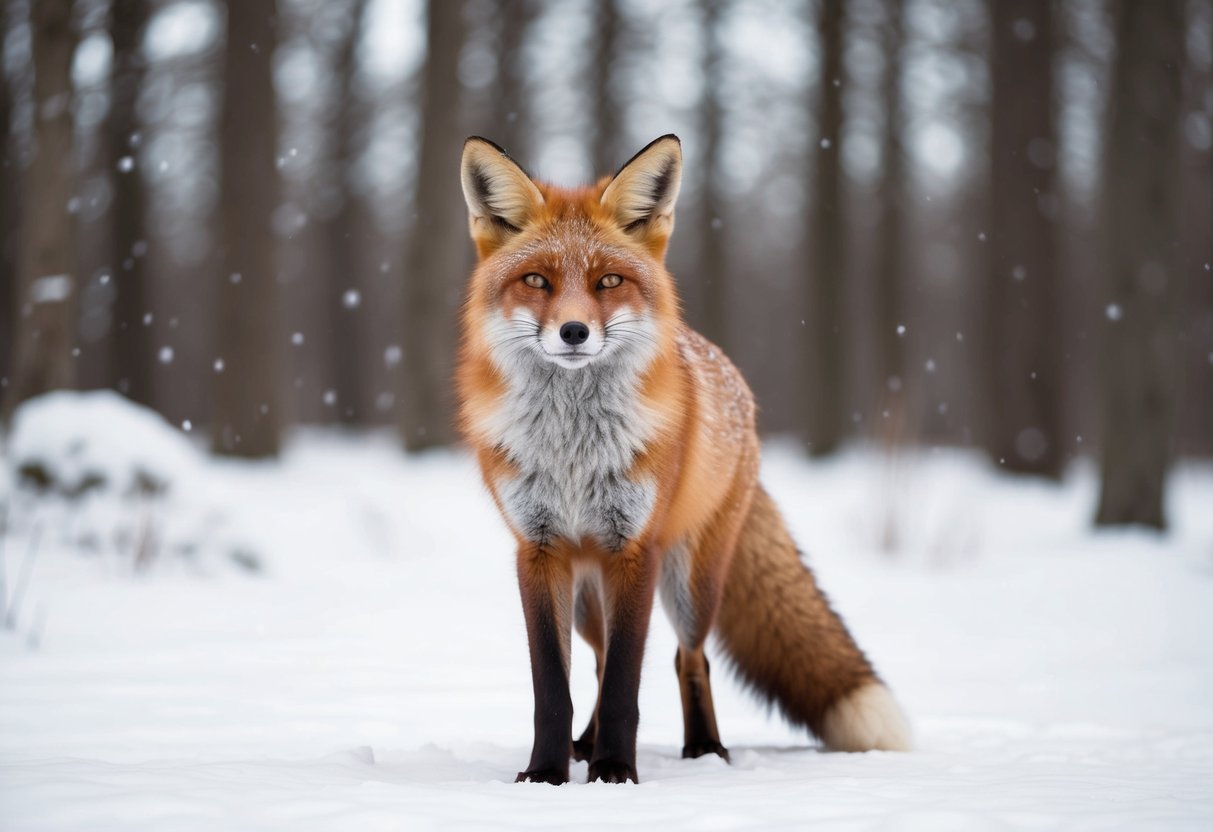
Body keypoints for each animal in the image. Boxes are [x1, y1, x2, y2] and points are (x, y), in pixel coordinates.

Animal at [455, 134, 911, 785]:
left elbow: (627, 683)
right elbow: (554, 687)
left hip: (689, 582)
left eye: (609, 280)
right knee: (597, 661)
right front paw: (546, 775)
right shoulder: (538, 551)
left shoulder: (633, 550)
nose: (574, 332)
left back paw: (704, 749)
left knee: (686, 658)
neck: (573, 452)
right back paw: (585, 743)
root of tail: (736, 390)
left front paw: (615, 772)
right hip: (589, 592)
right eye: (537, 280)